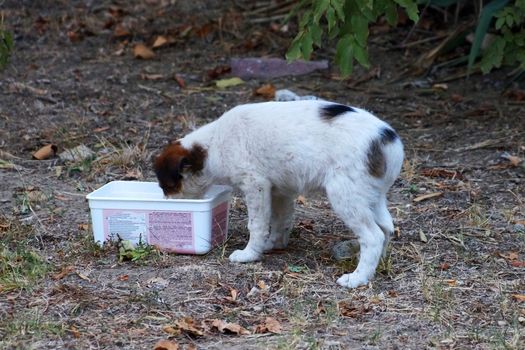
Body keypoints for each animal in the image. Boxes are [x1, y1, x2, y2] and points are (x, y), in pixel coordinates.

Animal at [154, 100, 404, 288]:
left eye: (167, 187)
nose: (166, 204)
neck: (214, 145)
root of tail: (388, 140)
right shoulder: (280, 191)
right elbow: (280, 221)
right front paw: (272, 244)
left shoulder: (255, 185)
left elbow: (256, 225)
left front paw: (249, 254)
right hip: (372, 197)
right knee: (386, 229)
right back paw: (376, 265)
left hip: (345, 195)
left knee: (373, 236)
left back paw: (358, 278)